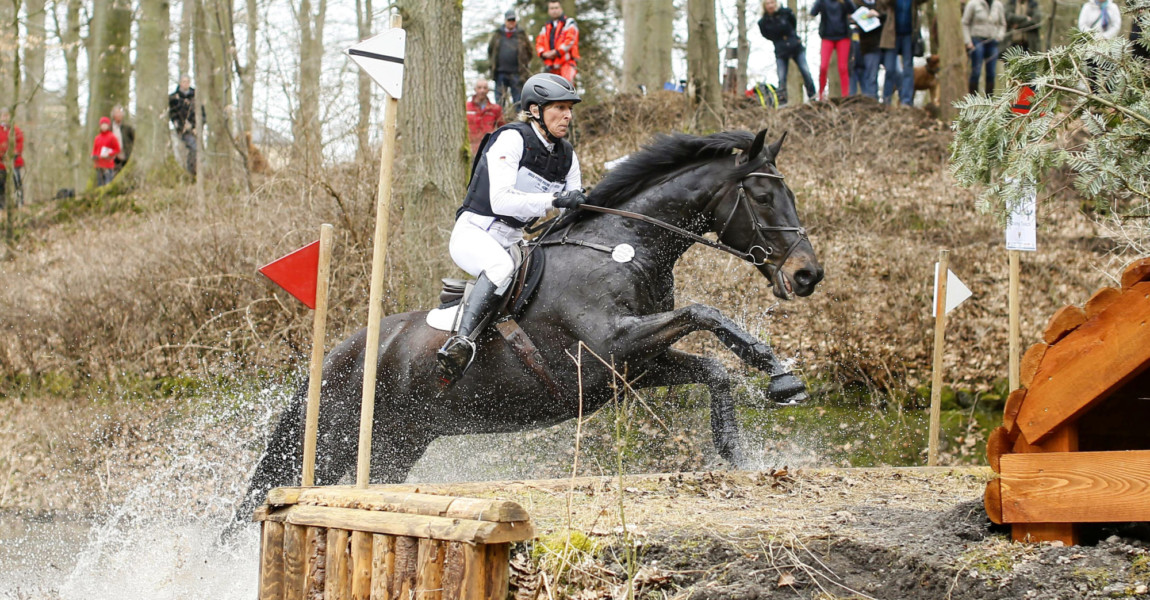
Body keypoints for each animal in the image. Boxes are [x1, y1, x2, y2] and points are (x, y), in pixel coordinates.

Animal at [238, 128, 823, 514]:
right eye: (763, 195)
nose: (807, 274)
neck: (623, 250)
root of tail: (336, 352)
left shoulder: (635, 366)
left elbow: (713, 367)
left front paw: (736, 445)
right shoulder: (610, 347)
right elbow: (705, 312)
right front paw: (780, 375)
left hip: (397, 443)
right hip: (336, 436)